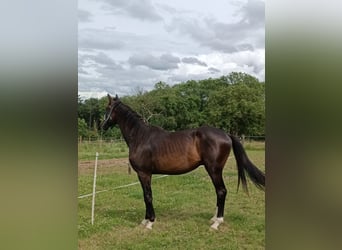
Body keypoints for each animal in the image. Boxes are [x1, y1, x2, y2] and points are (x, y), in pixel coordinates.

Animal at [99, 94, 264, 230]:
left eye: (107, 108)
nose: (102, 126)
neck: (140, 136)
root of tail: (226, 134)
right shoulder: (144, 174)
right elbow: (145, 195)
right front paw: (145, 220)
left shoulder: (144, 173)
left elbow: (147, 196)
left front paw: (150, 222)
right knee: (219, 192)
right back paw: (213, 218)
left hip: (214, 170)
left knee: (221, 191)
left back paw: (217, 222)